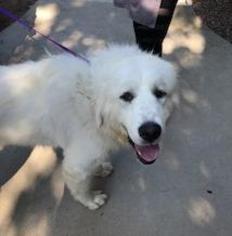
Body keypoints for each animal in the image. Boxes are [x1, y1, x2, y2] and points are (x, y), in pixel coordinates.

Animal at [0, 45, 177, 209]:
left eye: (160, 93)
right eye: (126, 96)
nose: (151, 131)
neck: (89, 99)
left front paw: (99, 169)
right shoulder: (75, 165)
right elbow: (80, 188)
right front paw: (91, 201)